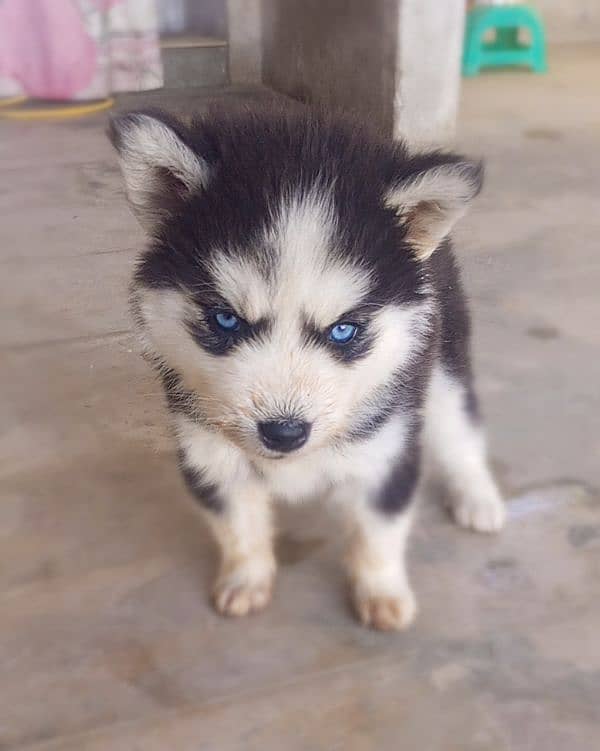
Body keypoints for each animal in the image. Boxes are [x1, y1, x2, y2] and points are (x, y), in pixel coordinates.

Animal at [110, 106, 504, 632]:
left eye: (343, 330)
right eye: (226, 320)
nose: (284, 433)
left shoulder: (387, 448)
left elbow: (379, 531)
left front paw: (381, 591)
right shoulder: (208, 452)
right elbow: (238, 526)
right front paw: (246, 579)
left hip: (443, 360)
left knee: (459, 427)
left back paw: (478, 498)